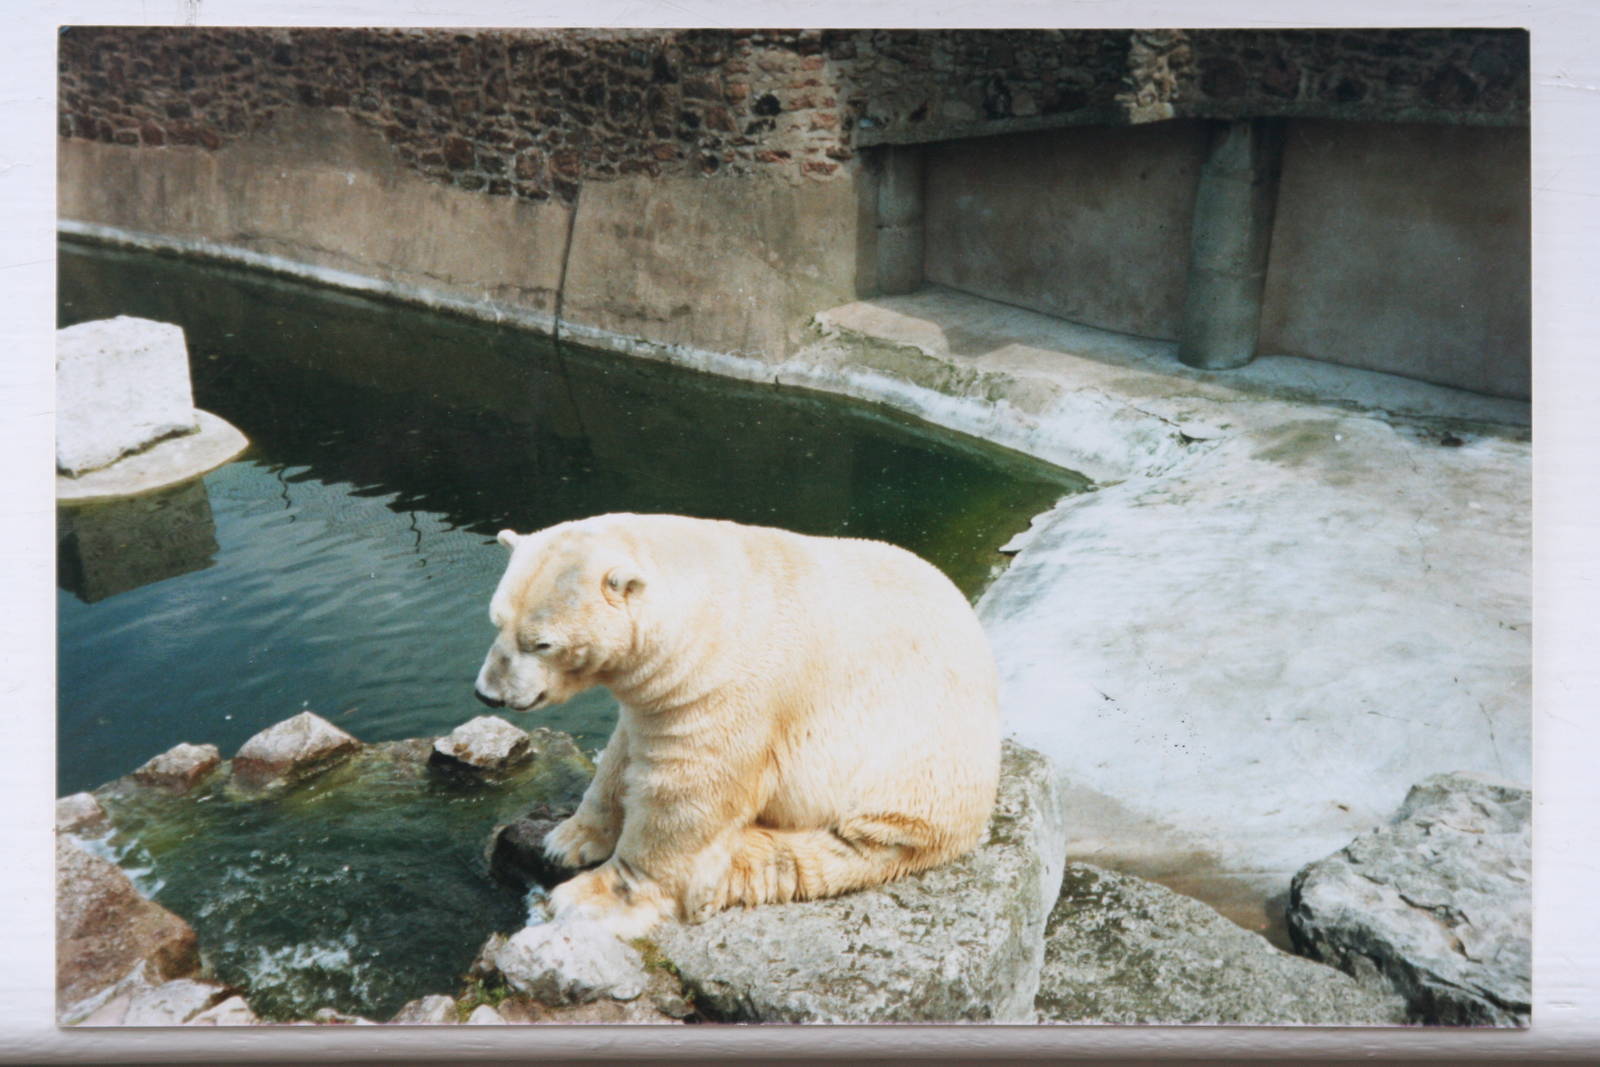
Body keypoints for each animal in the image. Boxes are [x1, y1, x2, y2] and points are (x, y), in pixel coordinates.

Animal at [474, 512, 1000, 938]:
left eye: (541, 643)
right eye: (496, 620)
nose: (487, 693)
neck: (708, 612)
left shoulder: (727, 687)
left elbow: (688, 792)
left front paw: (589, 897)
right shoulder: (659, 692)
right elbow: (624, 752)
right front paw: (566, 840)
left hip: (917, 771)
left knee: (855, 845)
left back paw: (736, 869)